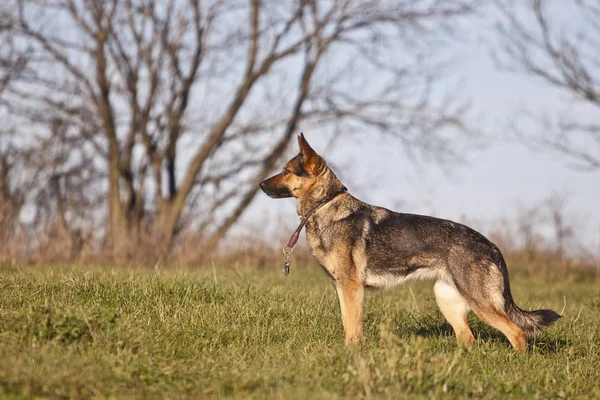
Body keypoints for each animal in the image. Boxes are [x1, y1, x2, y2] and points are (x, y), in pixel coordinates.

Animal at [260, 134, 560, 350]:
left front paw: (352, 354)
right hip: (447, 300)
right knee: (468, 338)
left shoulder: (351, 287)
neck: (326, 205)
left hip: (479, 301)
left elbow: (352, 327)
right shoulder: (343, 288)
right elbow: (347, 322)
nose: (260, 184)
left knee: (517, 333)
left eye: (286, 171)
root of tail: (491, 246)